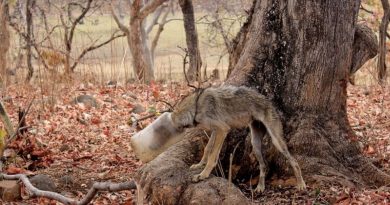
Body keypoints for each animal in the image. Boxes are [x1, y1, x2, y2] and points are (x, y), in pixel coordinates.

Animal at [171, 85, 308, 192]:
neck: (196, 105)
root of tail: (269, 102)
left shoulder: (222, 129)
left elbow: (212, 156)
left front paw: (203, 174)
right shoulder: (216, 130)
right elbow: (207, 149)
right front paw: (199, 165)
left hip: (277, 142)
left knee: (294, 161)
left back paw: (301, 184)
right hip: (255, 144)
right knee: (264, 166)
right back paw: (260, 187)